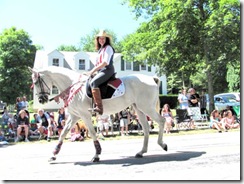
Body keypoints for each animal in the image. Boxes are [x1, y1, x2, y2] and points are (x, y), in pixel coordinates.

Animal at [29, 66, 168, 162]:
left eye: (36, 82)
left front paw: (97, 154)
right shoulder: (74, 116)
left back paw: (162, 144)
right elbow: (63, 133)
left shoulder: (84, 115)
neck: (73, 86)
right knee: (146, 128)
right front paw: (53, 154)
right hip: (139, 109)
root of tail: (151, 78)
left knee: (161, 121)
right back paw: (141, 152)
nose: (41, 100)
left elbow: (92, 133)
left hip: (147, 107)